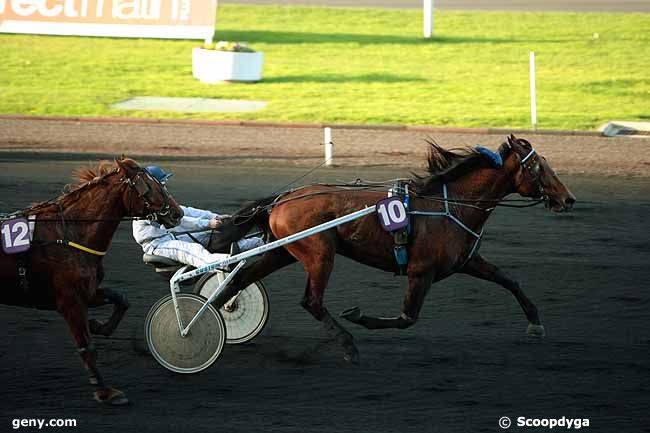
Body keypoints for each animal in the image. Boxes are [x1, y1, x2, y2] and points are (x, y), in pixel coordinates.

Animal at [0, 157, 182, 404]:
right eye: (150, 186)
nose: (177, 213)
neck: (69, 234)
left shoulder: (88, 292)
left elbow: (122, 299)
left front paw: (99, 325)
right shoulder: (70, 302)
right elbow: (87, 347)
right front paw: (105, 391)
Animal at [216, 134, 572, 362]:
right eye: (539, 167)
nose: (568, 199)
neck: (450, 205)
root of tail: (282, 199)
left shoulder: (465, 261)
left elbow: (508, 279)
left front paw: (535, 322)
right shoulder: (421, 271)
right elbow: (406, 318)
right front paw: (359, 317)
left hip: (282, 251)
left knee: (239, 280)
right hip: (319, 254)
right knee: (311, 301)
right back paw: (348, 345)